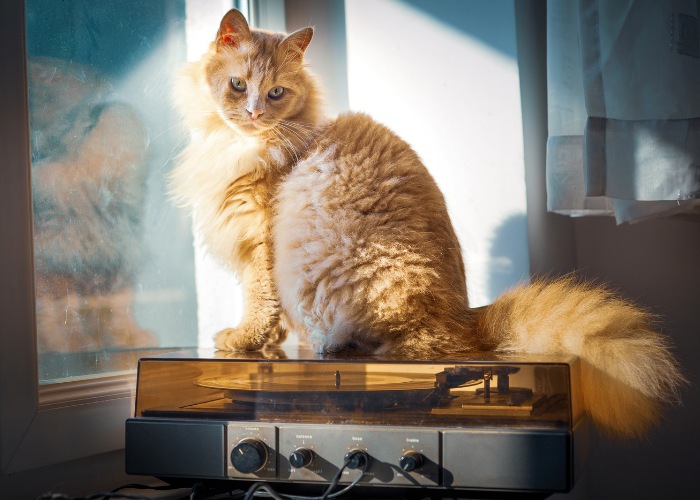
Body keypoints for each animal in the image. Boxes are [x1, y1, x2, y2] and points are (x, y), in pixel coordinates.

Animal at [171, 8, 684, 438]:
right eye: (239, 85)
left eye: (276, 92)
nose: (255, 112)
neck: (238, 146)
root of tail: (465, 322)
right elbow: (266, 312)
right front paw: (262, 343)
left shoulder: (261, 239)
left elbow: (259, 301)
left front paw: (242, 341)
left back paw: (333, 348)